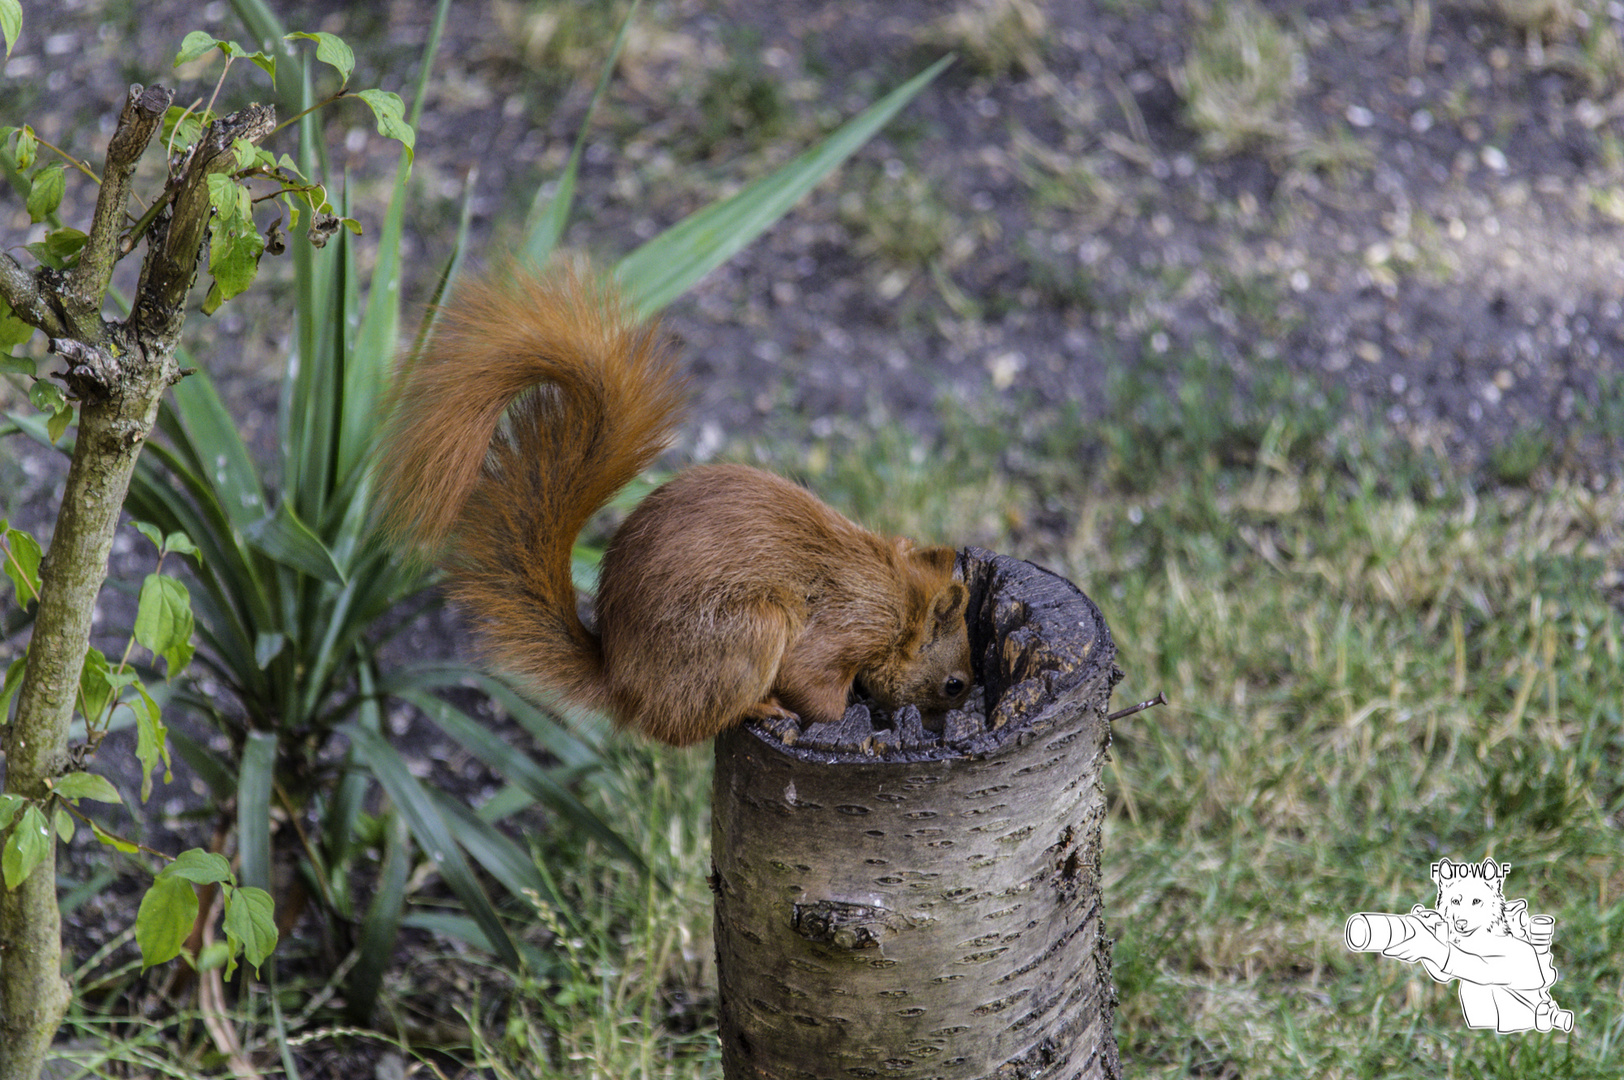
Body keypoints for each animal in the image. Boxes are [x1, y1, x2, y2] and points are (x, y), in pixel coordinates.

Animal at [373, 264, 967, 747]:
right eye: (954, 684)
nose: (942, 724)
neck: (899, 596)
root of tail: (627, 689)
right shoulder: (848, 626)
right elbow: (815, 685)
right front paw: (856, 716)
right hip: (750, 630)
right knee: (691, 726)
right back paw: (762, 707)